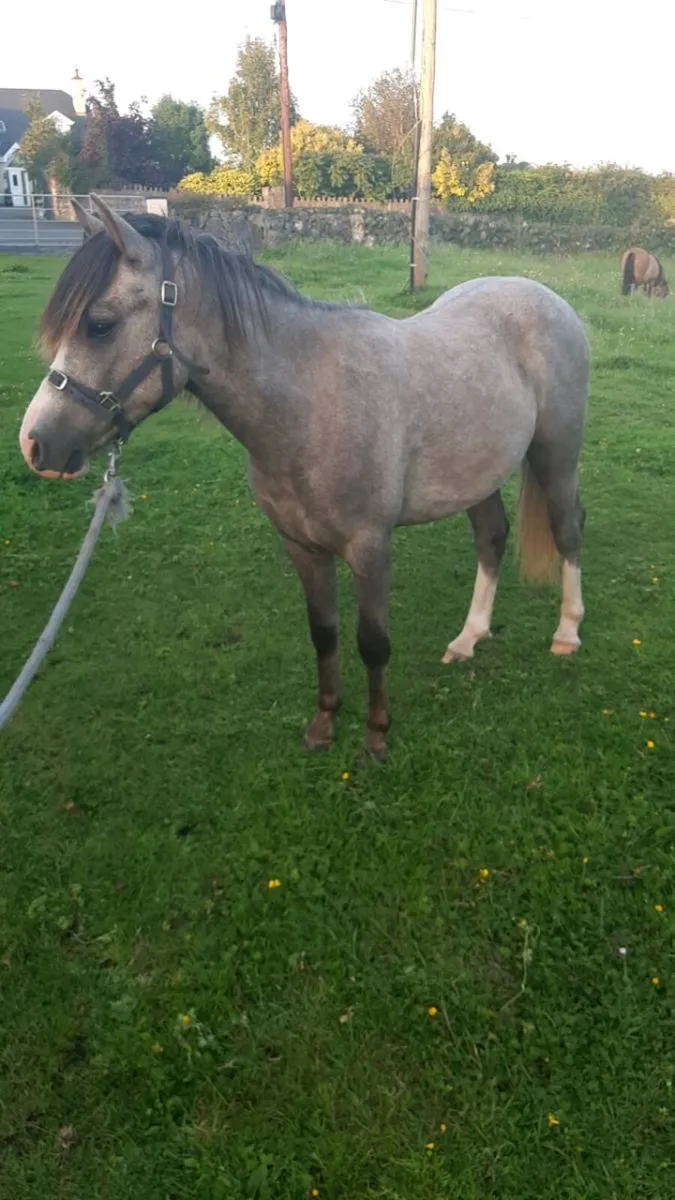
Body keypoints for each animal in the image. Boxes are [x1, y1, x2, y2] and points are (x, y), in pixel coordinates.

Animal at [18, 195, 589, 760]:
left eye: (99, 324)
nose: (35, 442)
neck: (307, 405)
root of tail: (547, 297)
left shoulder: (370, 547)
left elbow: (372, 642)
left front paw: (376, 734)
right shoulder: (301, 546)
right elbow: (324, 633)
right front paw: (324, 723)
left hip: (555, 456)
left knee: (567, 530)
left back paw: (567, 633)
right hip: (479, 474)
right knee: (491, 537)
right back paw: (469, 638)